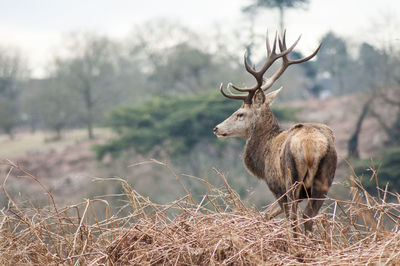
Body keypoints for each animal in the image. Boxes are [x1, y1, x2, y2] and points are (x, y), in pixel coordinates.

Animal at [214, 30, 336, 232]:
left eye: (240, 114)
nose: (216, 128)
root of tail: (310, 145)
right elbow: (266, 213)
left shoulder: (276, 186)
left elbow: (271, 214)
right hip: (325, 179)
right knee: (308, 217)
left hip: (291, 178)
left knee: (294, 218)